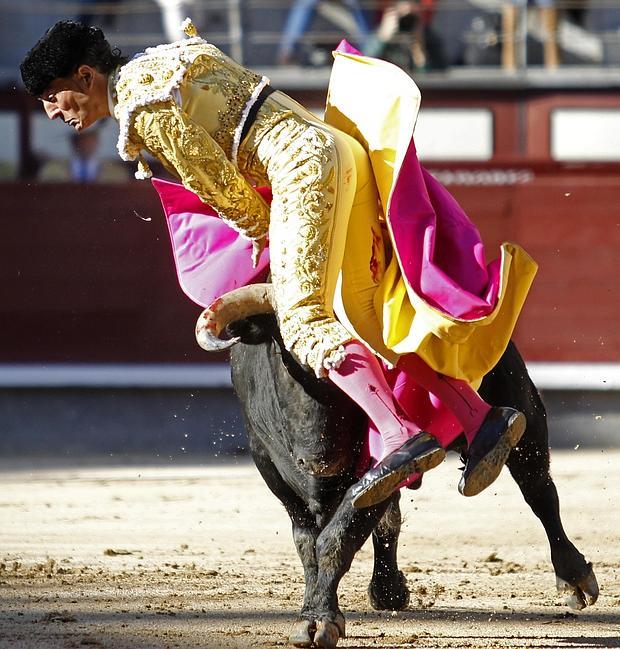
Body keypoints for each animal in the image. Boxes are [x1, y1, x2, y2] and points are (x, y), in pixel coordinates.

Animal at [196, 284, 600, 648]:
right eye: (286, 357)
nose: (320, 458)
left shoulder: (381, 469)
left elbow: (337, 538)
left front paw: (321, 621)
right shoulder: (271, 470)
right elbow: (307, 544)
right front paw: (313, 613)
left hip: (524, 408)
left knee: (540, 492)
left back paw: (574, 577)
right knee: (390, 520)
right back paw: (387, 590)